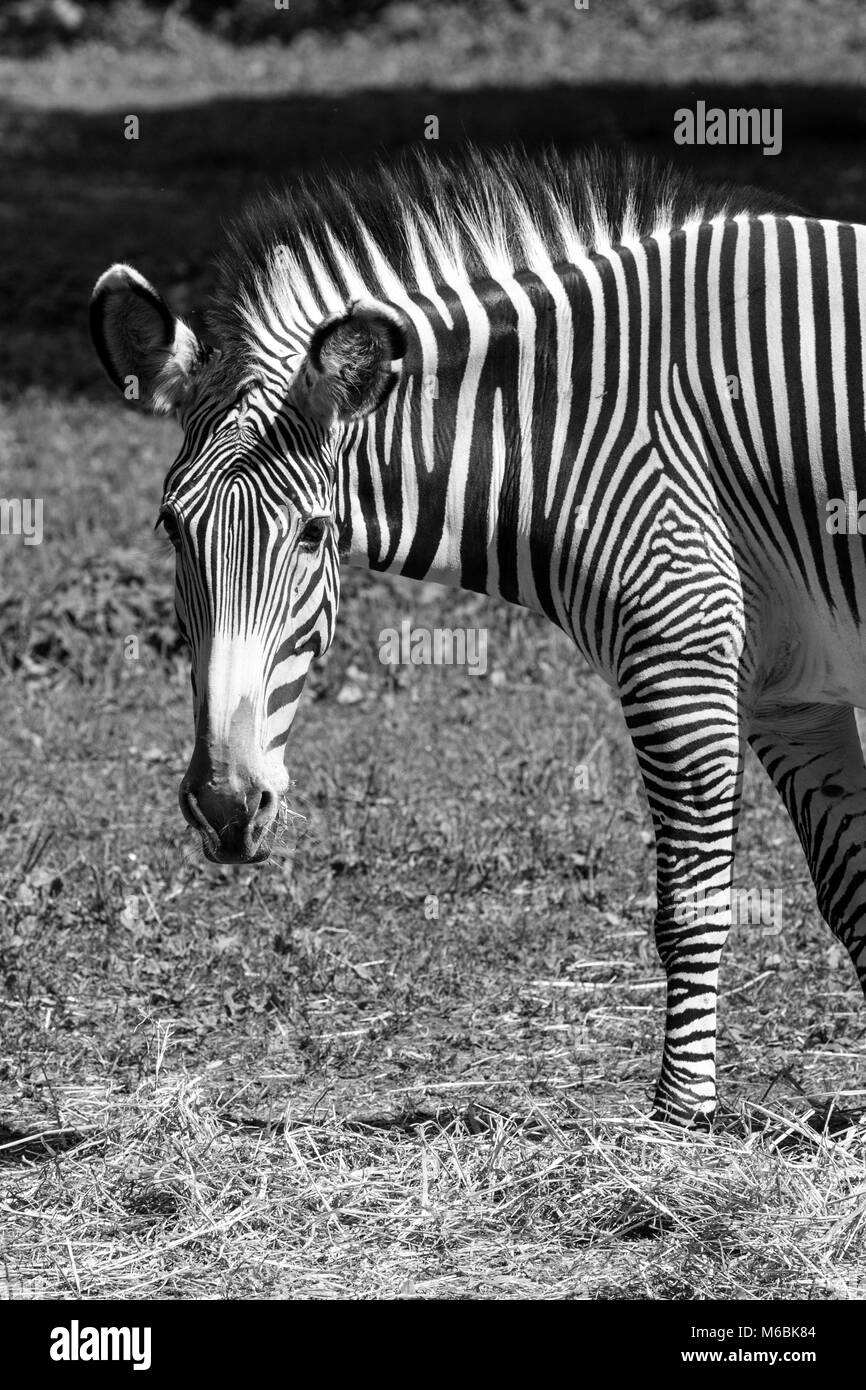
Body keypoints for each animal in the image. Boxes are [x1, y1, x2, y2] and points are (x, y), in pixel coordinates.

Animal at [90, 146, 866, 1126]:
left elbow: (691, 902)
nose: (228, 808)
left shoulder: (678, 647)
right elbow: (854, 892)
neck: (583, 421)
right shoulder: (788, 687)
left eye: (313, 534)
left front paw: (676, 1117)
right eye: (171, 528)